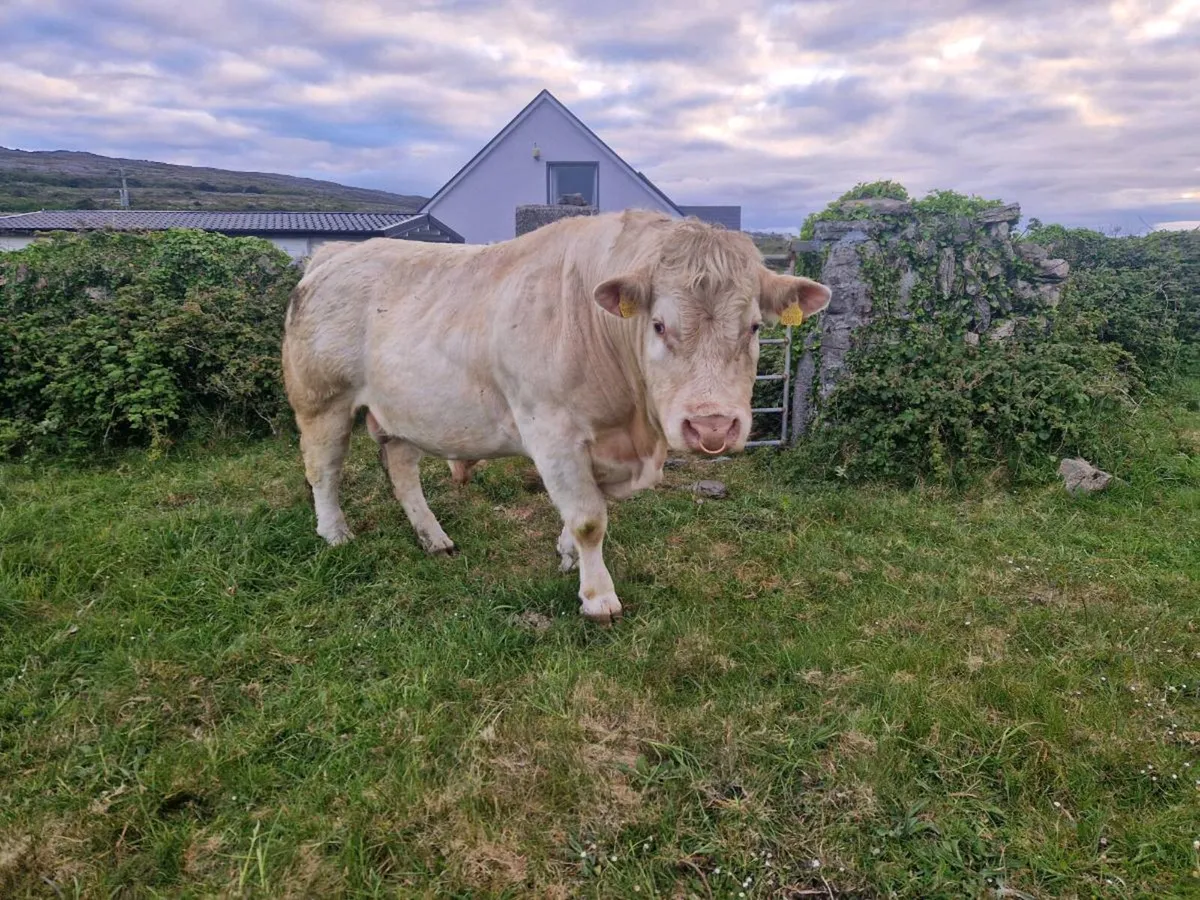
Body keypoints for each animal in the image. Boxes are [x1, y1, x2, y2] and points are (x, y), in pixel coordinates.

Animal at [281, 210, 831, 623]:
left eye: (755, 326)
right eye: (658, 325)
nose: (712, 427)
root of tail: (333, 255)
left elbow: (586, 509)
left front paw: (567, 554)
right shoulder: (552, 433)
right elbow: (589, 518)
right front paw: (599, 597)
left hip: (400, 410)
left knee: (401, 472)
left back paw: (434, 539)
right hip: (322, 401)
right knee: (323, 470)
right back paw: (335, 533)